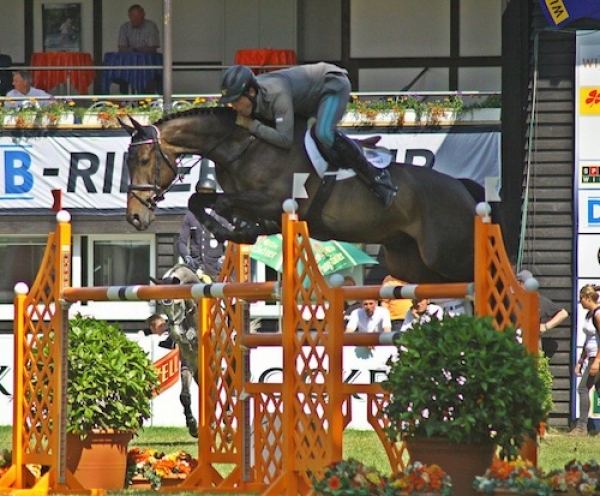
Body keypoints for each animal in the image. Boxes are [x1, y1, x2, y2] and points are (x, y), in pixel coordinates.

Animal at [125, 107, 482, 282]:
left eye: (142, 160)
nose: (135, 217)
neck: (244, 145)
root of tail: (463, 188)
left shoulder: (273, 200)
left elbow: (223, 204)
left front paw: (239, 232)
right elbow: (198, 200)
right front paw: (237, 231)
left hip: (446, 255)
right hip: (410, 263)